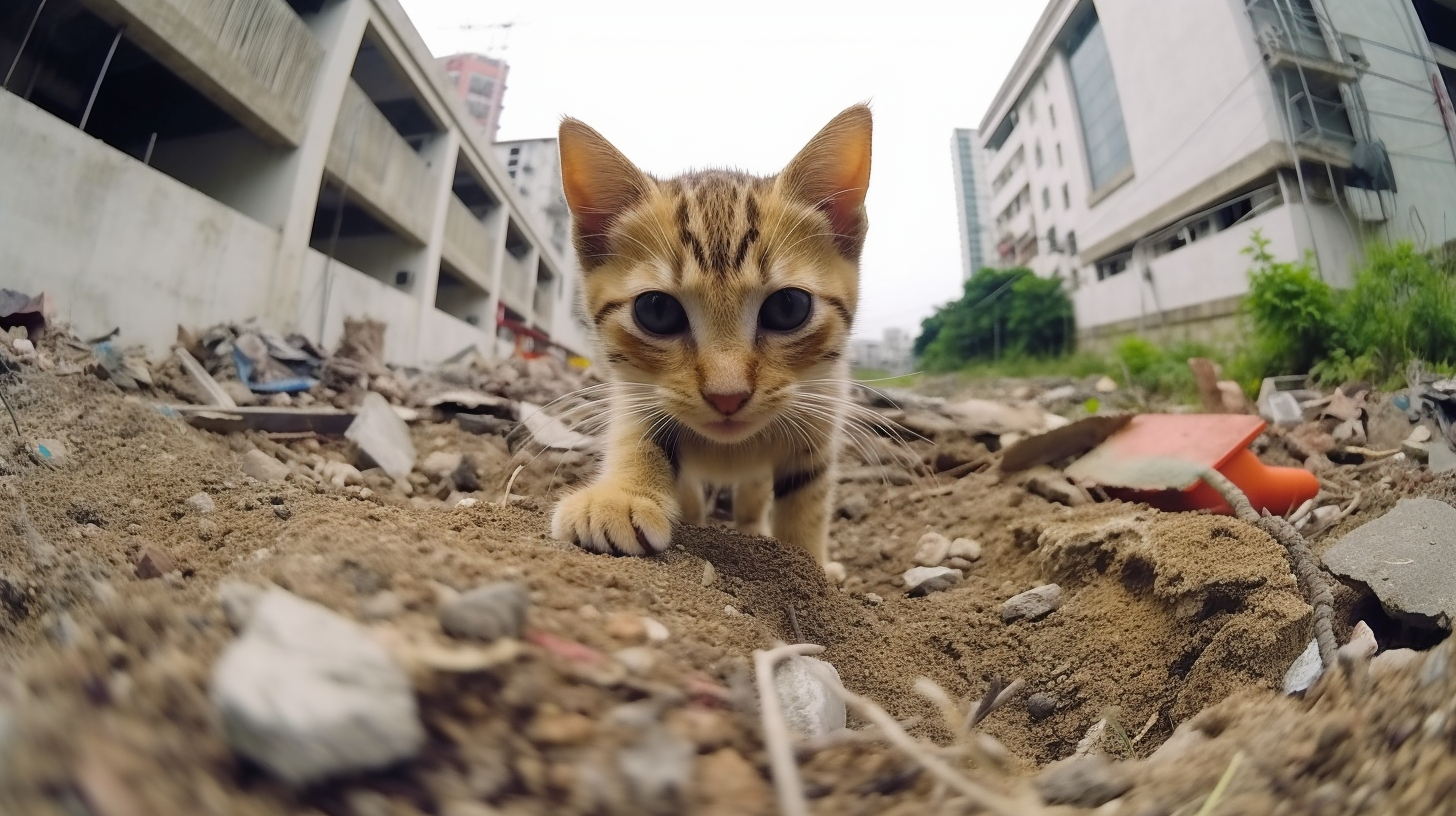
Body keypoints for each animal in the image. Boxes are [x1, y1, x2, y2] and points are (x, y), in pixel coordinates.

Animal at [544, 102, 861, 565]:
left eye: (788, 307)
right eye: (657, 311)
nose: (727, 396)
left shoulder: (820, 413)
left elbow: (806, 504)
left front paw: (811, 567)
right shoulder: (636, 395)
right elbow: (638, 441)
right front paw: (618, 498)